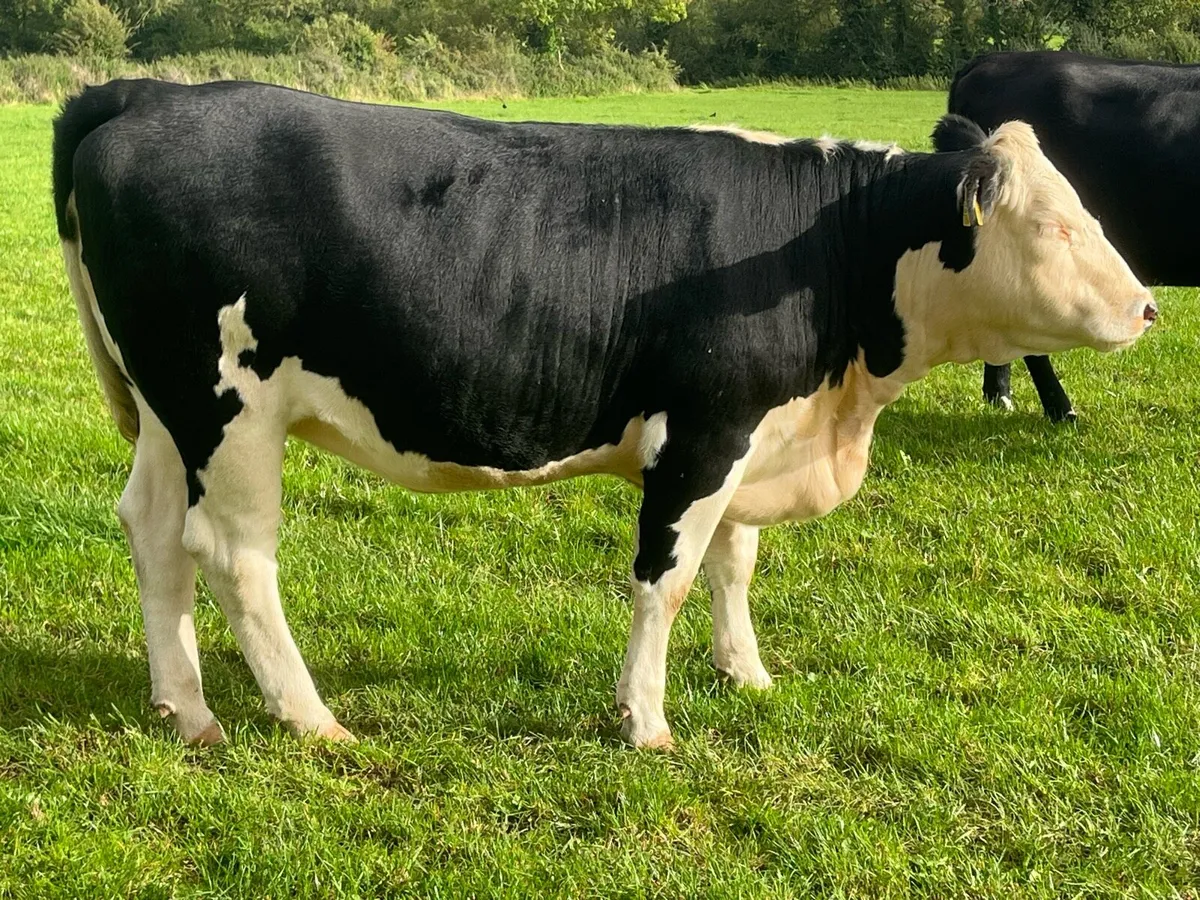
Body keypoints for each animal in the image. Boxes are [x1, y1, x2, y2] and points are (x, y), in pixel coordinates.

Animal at [54, 79, 1155, 749]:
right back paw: (311, 717)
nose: (1148, 307)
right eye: (1055, 225)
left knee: (151, 528)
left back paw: (186, 706)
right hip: (229, 411)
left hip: (170, 411)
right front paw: (644, 721)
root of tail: (152, 94)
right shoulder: (702, 433)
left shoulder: (750, 439)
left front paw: (747, 673)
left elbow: (734, 563)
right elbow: (665, 582)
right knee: (234, 555)